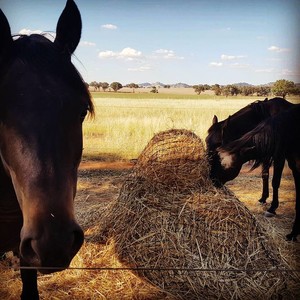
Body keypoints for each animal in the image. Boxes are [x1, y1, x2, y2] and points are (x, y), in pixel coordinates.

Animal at [216, 105, 300, 241]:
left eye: (226, 165)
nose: (212, 179)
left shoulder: (280, 157)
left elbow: (275, 181)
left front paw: (272, 208)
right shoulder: (293, 167)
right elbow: (265, 175)